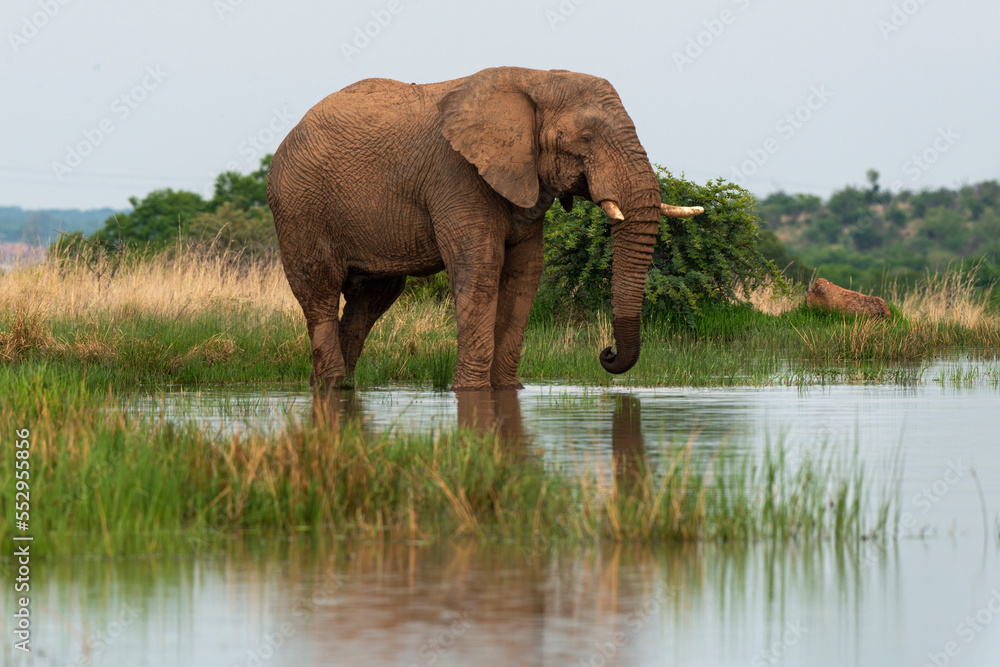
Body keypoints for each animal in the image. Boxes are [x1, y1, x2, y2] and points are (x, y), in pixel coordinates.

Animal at [267, 66, 703, 391]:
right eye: (585, 138)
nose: (607, 353)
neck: (536, 79)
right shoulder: (456, 174)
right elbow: (478, 271)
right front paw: (472, 392)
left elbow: (524, 275)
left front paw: (508, 390)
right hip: (299, 206)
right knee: (320, 293)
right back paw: (330, 386)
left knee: (370, 301)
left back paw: (335, 387)